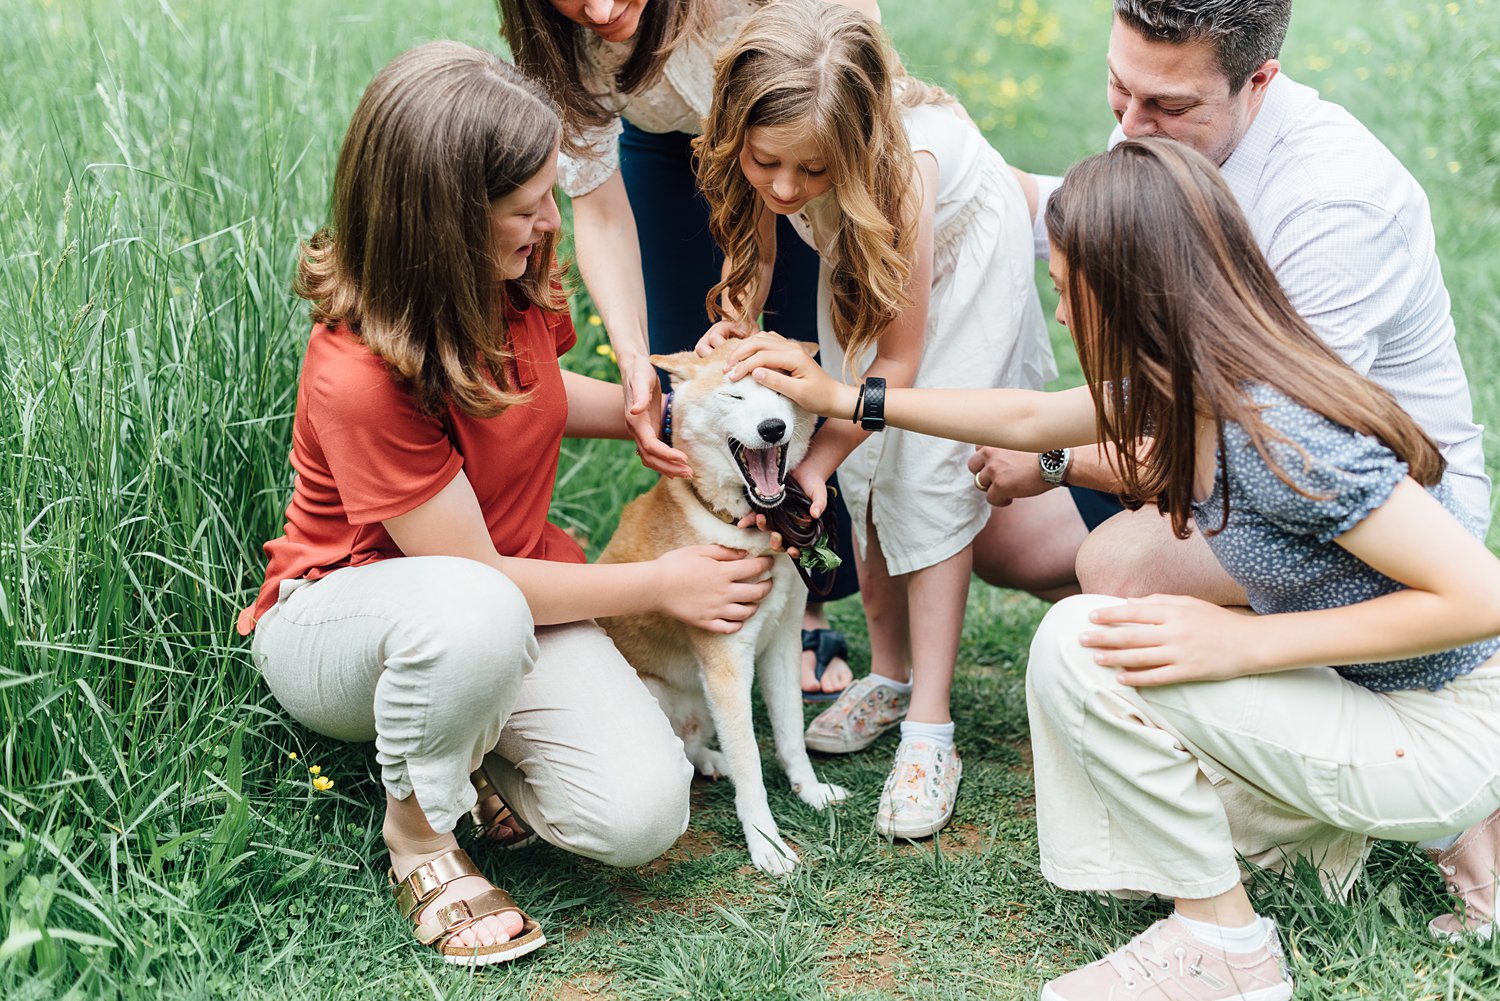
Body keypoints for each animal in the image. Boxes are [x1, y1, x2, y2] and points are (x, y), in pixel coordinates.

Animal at [600, 340, 858, 870]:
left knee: (695, 743)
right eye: (734, 395)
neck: (751, 530)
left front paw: (810, 792)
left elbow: (790, 736)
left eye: (780, 390)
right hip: (665, 692)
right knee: (683, 745)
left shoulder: (783, 644)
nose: (772, 428)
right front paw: (767, 843)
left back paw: (712, 760)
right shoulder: (726, 664)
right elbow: (752, 765)